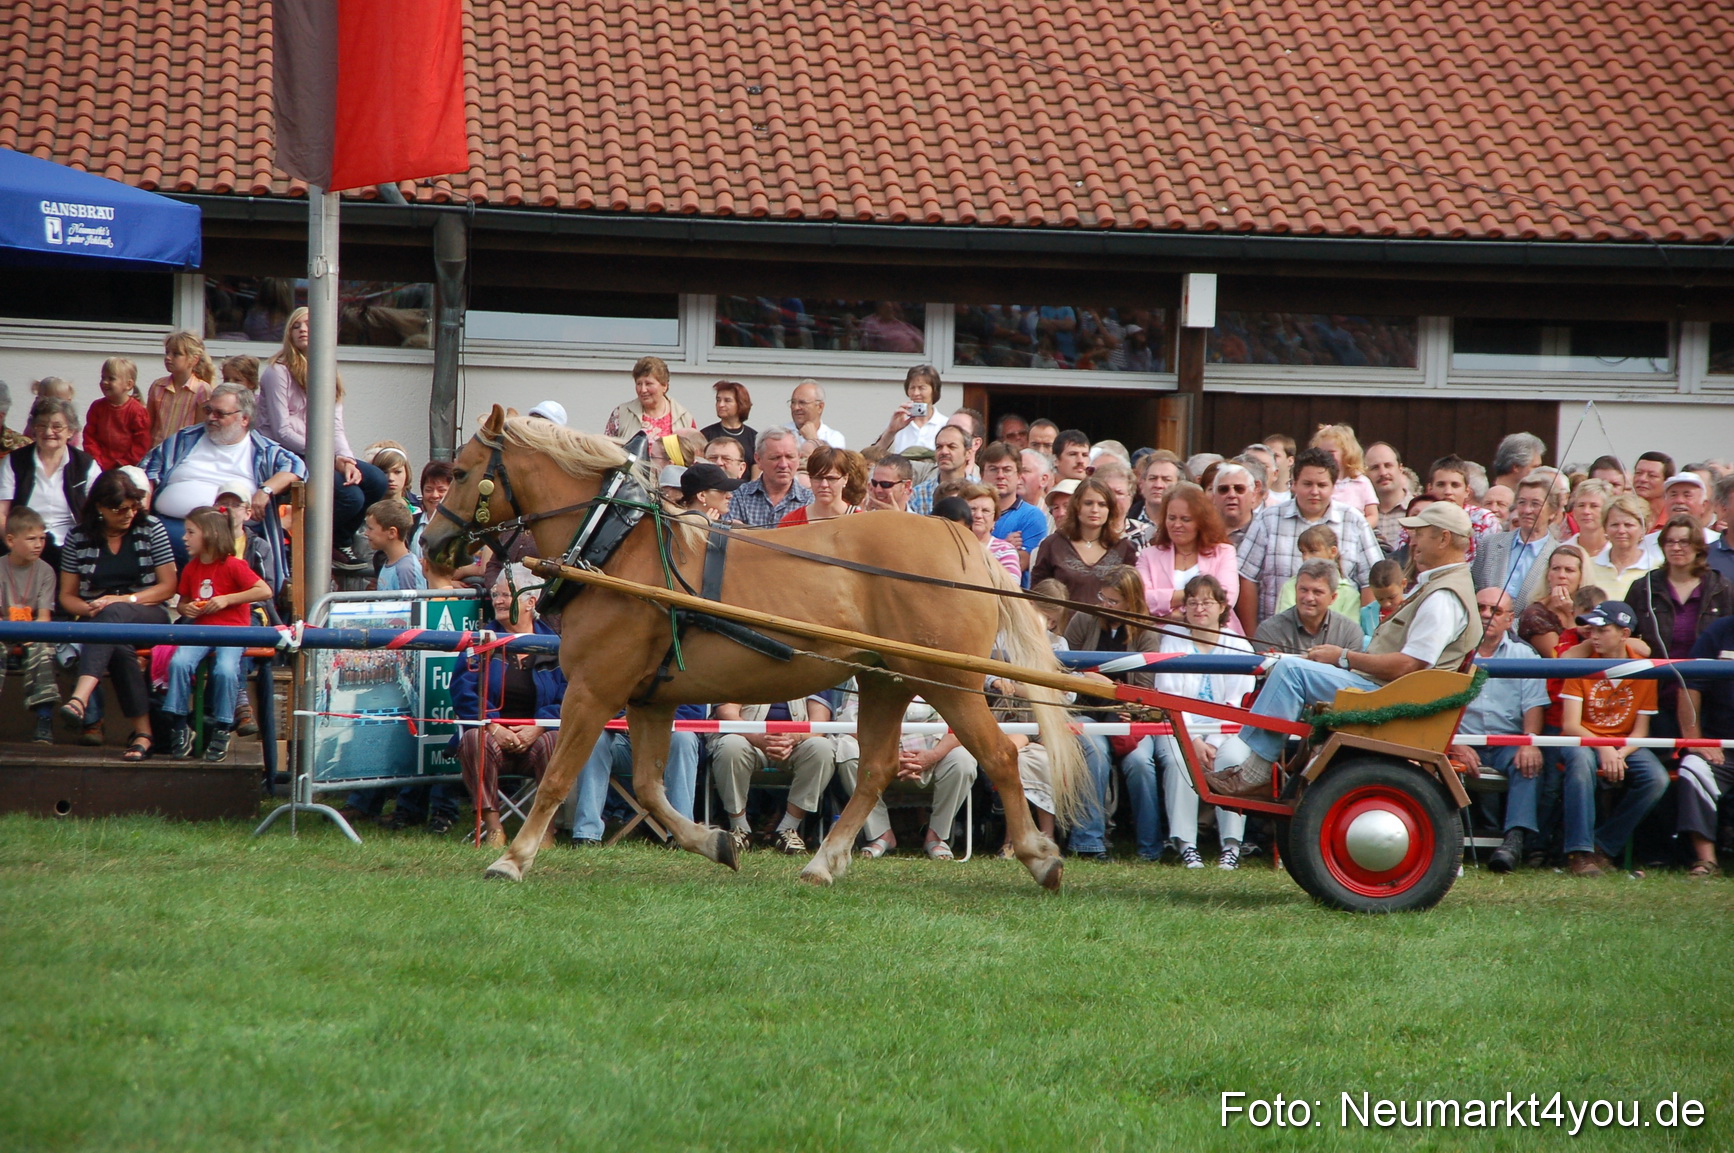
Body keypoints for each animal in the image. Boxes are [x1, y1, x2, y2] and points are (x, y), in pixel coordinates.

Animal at [421, 406, 1089, 890]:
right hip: (886, 681)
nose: (431, 543)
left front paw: (512, 859)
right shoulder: (648, 700)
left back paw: (1040, 857)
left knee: (998, 756)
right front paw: (714, 842)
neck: (615, 546)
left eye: (463, 471)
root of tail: (963, 544)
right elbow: (650, 788)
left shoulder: (592, 690)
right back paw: (823, 863)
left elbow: (559, 776)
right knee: (875, 768)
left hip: (945, 683)